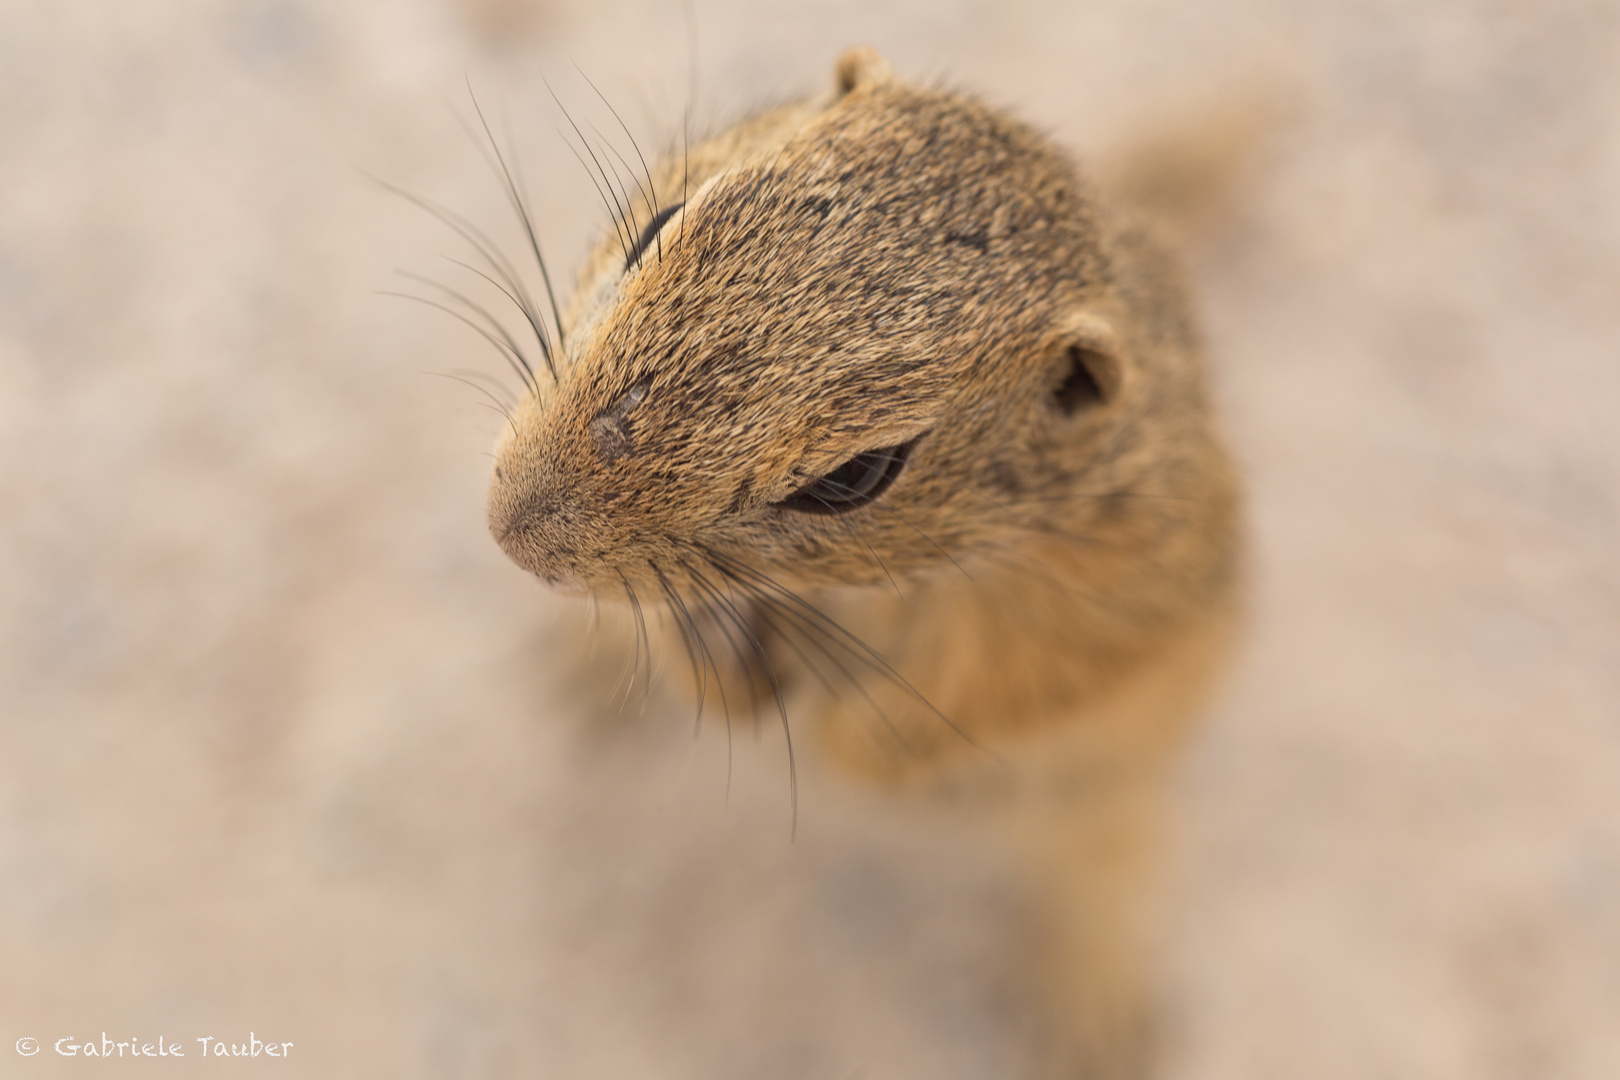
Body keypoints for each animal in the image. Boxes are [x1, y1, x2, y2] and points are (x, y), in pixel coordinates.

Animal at [476, 48, 1237, 1080]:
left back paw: (1096, 1010)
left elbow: (951, 717)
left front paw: (845, 745)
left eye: (856, 476)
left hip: (1111, 796)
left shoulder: (1084, 612)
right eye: (658, 225)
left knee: (1105, 866)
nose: (510, 531)